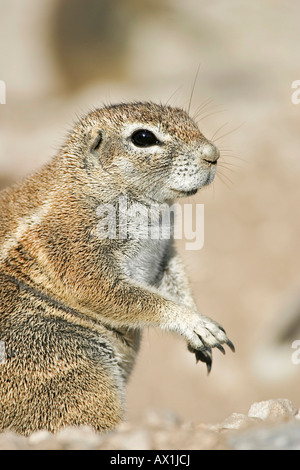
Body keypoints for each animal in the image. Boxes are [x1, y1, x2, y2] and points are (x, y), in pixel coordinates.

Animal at [0, 101, 234, 436]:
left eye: (190, 119)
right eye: (143, 137)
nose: (213, 154)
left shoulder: (164, 254)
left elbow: (175, 279)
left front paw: (198, 325)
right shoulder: (75, 242)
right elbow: (107, 291)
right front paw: (193, 323)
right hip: (67, 368)